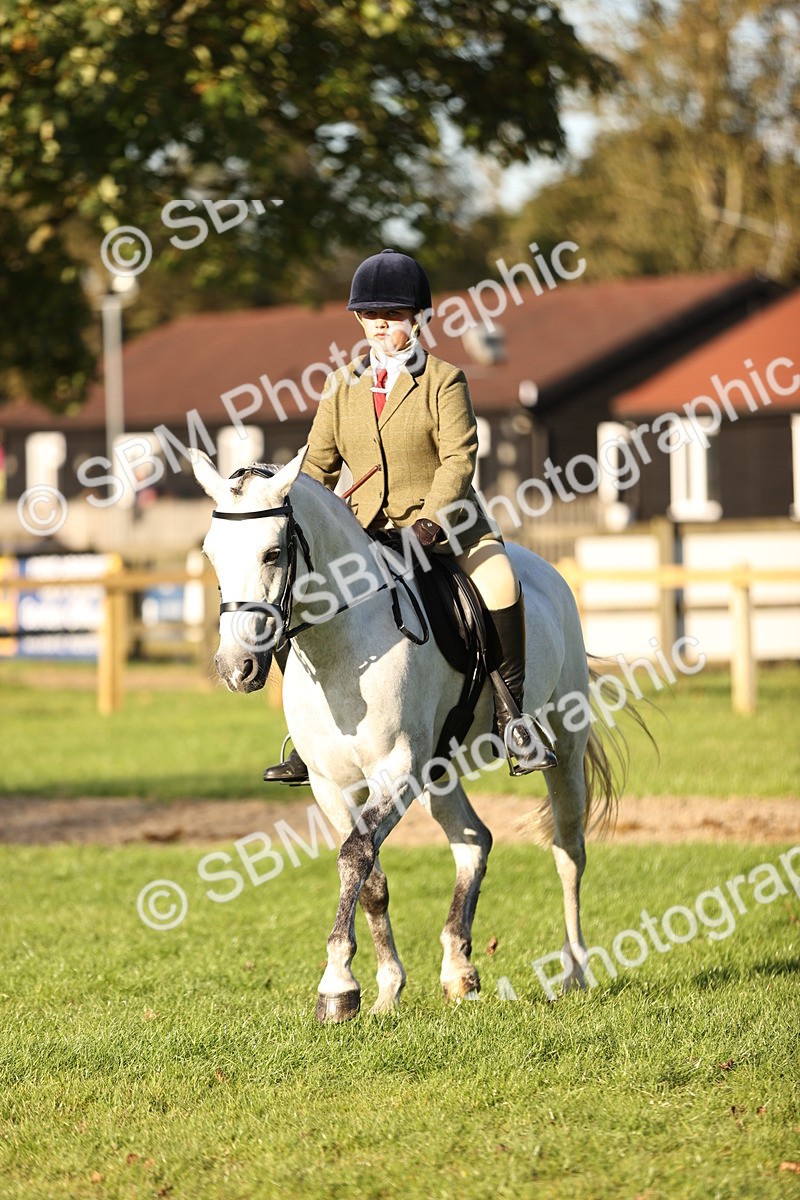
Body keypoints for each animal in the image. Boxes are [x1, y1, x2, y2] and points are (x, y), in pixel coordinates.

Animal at [191, 447, 620, 1023]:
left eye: (272, 553)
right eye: (212, 553)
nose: (235, 667)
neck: (342, 646)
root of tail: (548, 572)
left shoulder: (396, 770)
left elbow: (354, 856)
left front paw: (335, 984)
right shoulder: (331, 785)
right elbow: (370, 876)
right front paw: (381, 988)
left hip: (564, 745)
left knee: (568, 848)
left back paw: (574, 971)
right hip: (437, 769)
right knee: (474, 841)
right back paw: (459, 971)